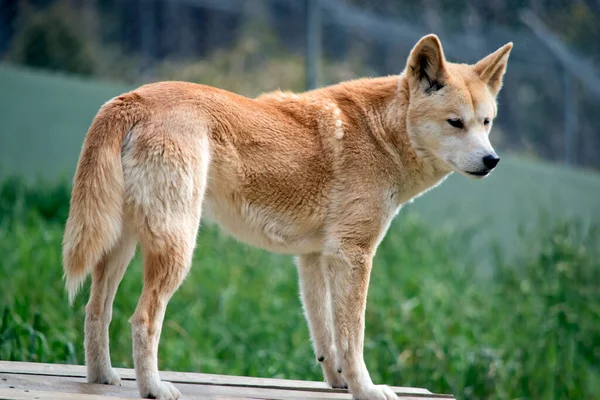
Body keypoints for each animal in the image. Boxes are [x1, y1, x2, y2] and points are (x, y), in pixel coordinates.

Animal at [62, 35, 510, 400]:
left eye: (486, 122)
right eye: (455, 123)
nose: (492, 161)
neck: (382, 133)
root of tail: (130, 98)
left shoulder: (314, 259)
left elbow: (327, 337)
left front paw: (339, 382)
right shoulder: (353, 255)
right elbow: (354, 337)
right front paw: (366, 389)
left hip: (121, 246)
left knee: (96, 311)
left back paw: (103, 379)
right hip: (176, 249)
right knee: (143, 318)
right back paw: (153, 387)